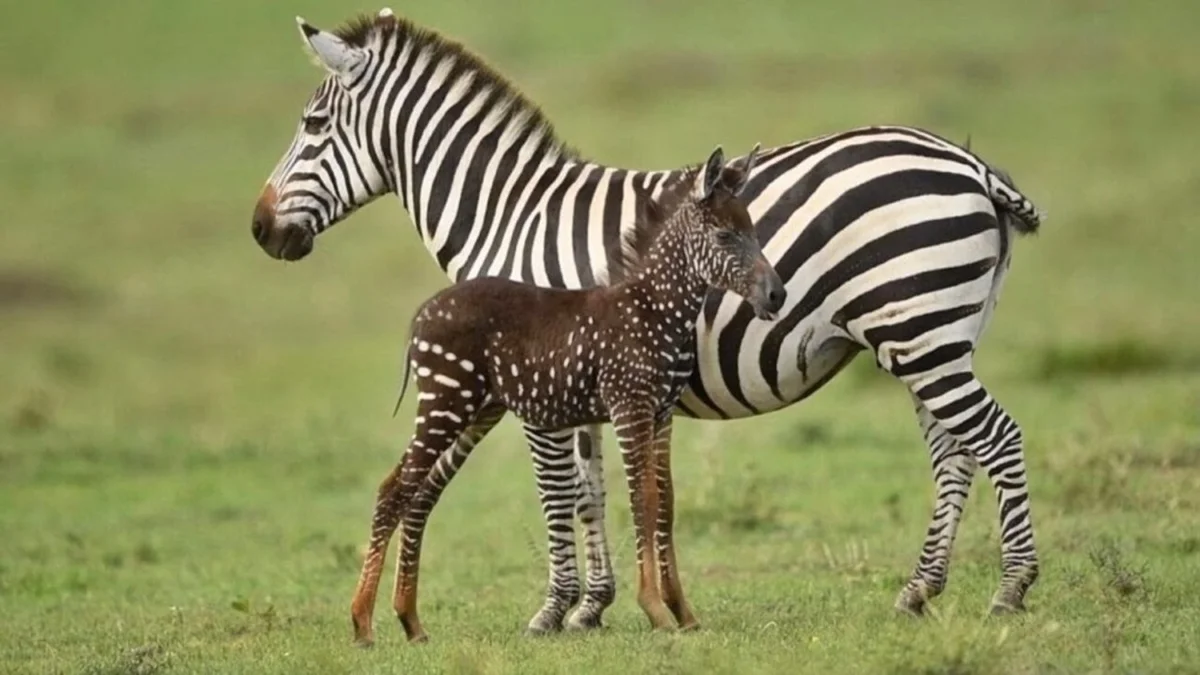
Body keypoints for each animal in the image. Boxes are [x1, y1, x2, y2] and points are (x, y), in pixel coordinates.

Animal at [250, 9, 1047, 633]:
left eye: (312, 125)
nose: (260, 231)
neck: (512, 215)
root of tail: (968, 163)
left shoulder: (539, 386)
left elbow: (558, 493)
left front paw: (554, 609)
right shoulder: (577, 381)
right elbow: (593, 491)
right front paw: (594, 605)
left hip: (919, 330)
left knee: (997, 437)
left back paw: (1011, 588)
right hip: (935, 335)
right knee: (953, 451)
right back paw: (919, 590)